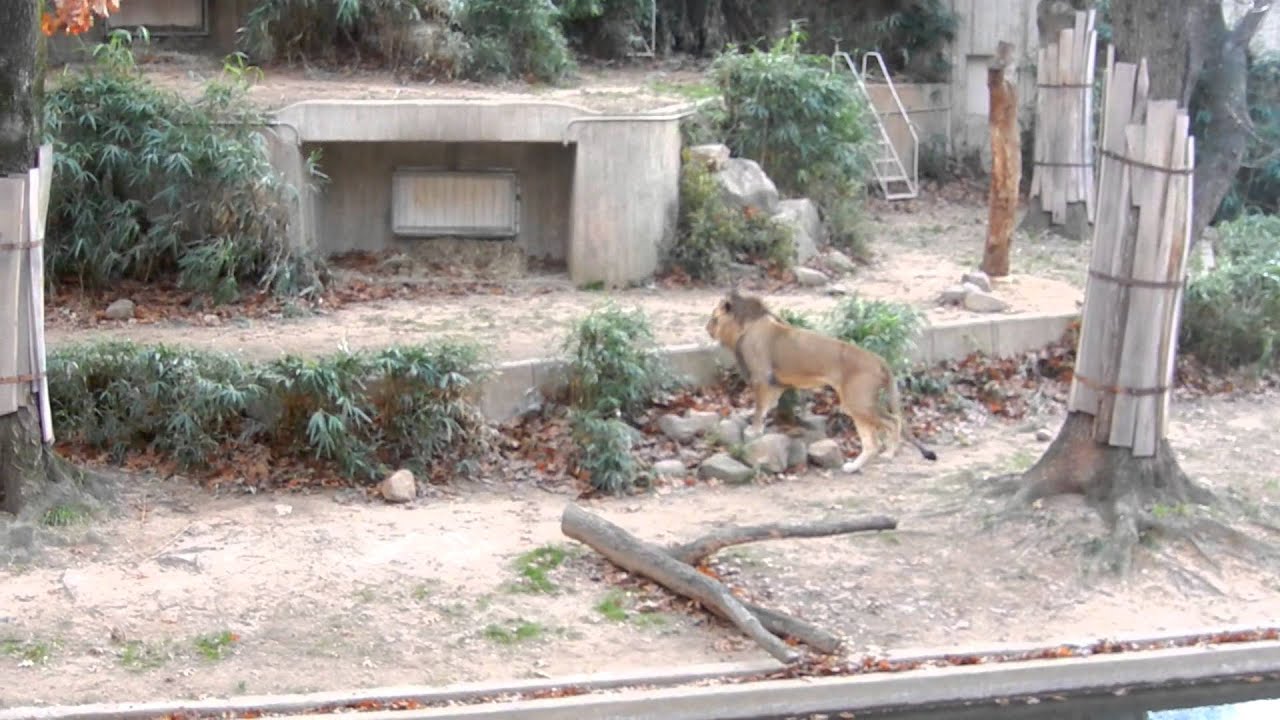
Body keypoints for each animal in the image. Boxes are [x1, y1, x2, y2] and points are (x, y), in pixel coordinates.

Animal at [705, 289, 938, 473]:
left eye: (713, 318)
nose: (707, 328)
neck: (747, 325)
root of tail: (880, 359)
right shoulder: (775, 384)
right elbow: (767, 406)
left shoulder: (761, 377)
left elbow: (760, 408)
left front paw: (754, 430)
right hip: (858, 403)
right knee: (872, 441)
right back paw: (852, 467)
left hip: (858, 402)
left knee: (892, 422)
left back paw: (889, 453)